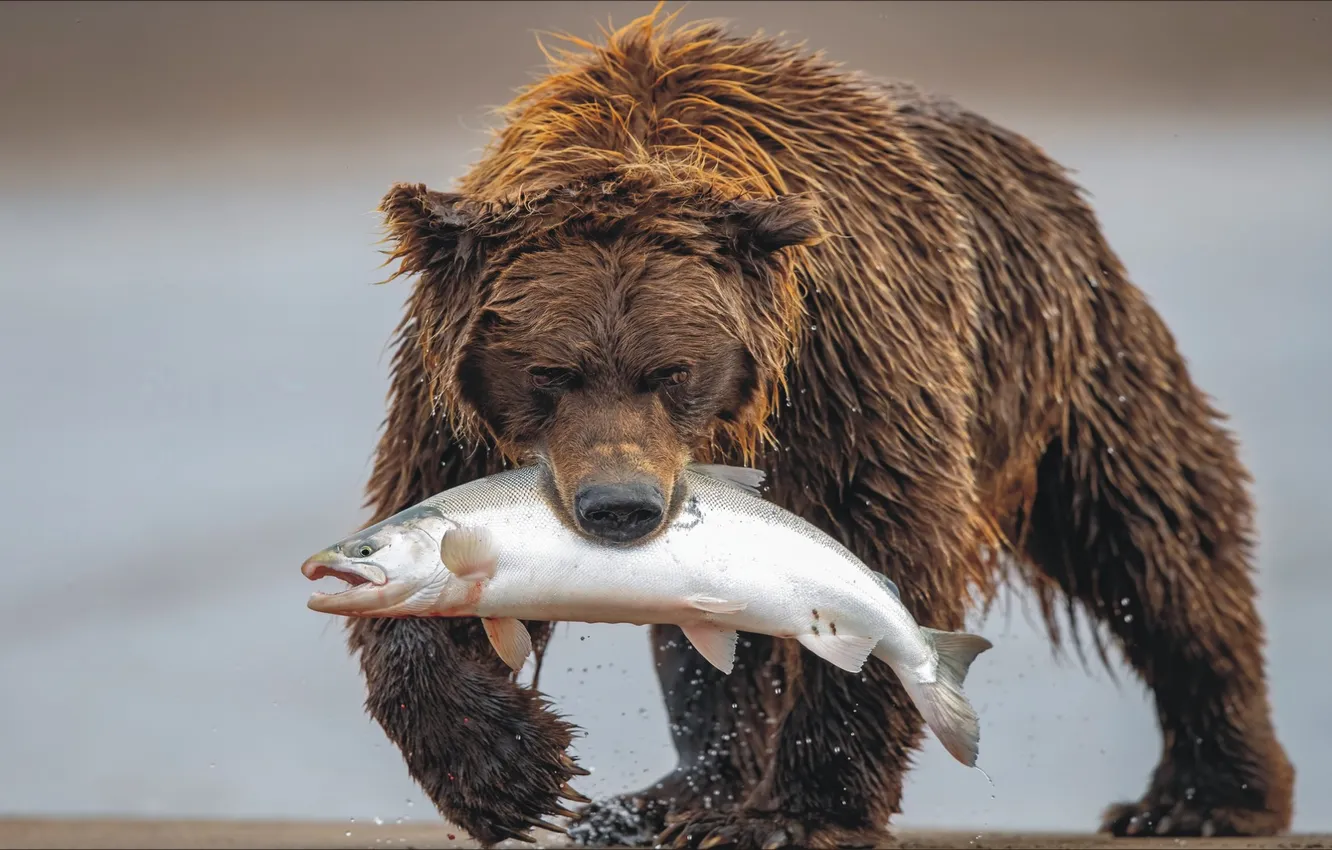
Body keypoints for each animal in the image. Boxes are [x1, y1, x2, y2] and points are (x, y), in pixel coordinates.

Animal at [343, 8, 1294, 848]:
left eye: (672, 371)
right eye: (549, 373)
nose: (621, 508)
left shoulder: (846, 357)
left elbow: (885, 538)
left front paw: (796, 811)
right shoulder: (451, 402)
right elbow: (420, 544)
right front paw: (515, 775)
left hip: (1067, 358)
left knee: (1153, 537)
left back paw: (1205, 796)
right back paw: (668, 801)